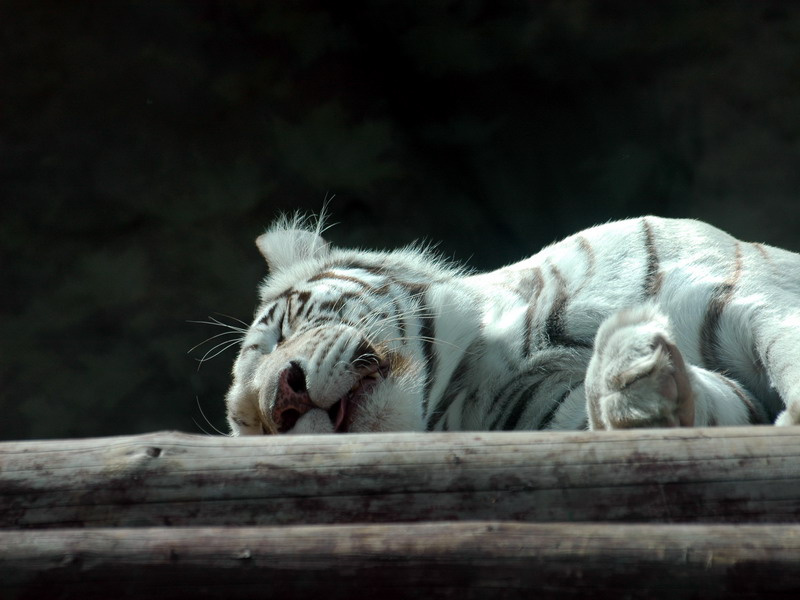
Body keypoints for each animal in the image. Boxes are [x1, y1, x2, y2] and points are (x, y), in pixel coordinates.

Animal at [224, 214, 800, 435]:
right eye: (256, 425)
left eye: (284, 331)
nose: (283, 400)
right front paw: (629, 380)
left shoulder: (740, 289)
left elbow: (786, 344)